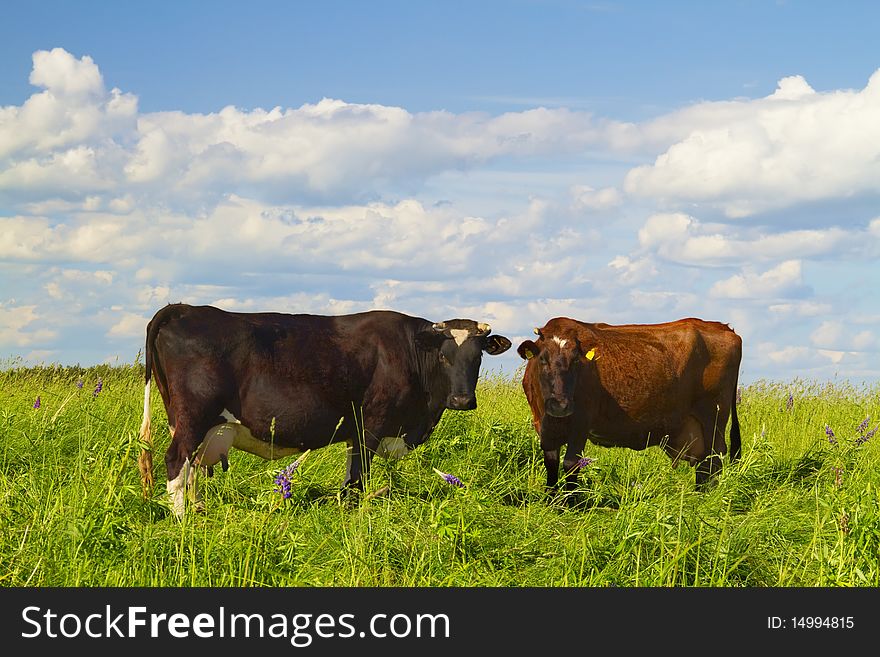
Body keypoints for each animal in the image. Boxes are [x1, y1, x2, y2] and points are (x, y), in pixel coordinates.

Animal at [137, 302, 508, 512]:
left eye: (477, 357)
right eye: (444, 356)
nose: (462, 400)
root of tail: (183, 308)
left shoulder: (354, 432)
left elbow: (350, 479)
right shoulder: (369, 426)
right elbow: (358, 479)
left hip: (192, 422)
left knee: (192, 468)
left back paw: (199, 509)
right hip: (194, 417)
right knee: (176, 461)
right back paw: (183, 518)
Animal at [516, 316, 744, 494]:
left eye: (576, 361)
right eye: (542, 359)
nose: (561, 405)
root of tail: (723, 327)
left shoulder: (580, 425)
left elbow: (571, 464)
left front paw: (569, 502)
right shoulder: (542, 426)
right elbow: (551, 463)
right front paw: (551, 498)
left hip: (713, 419)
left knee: (713, 460)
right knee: (704, 464)